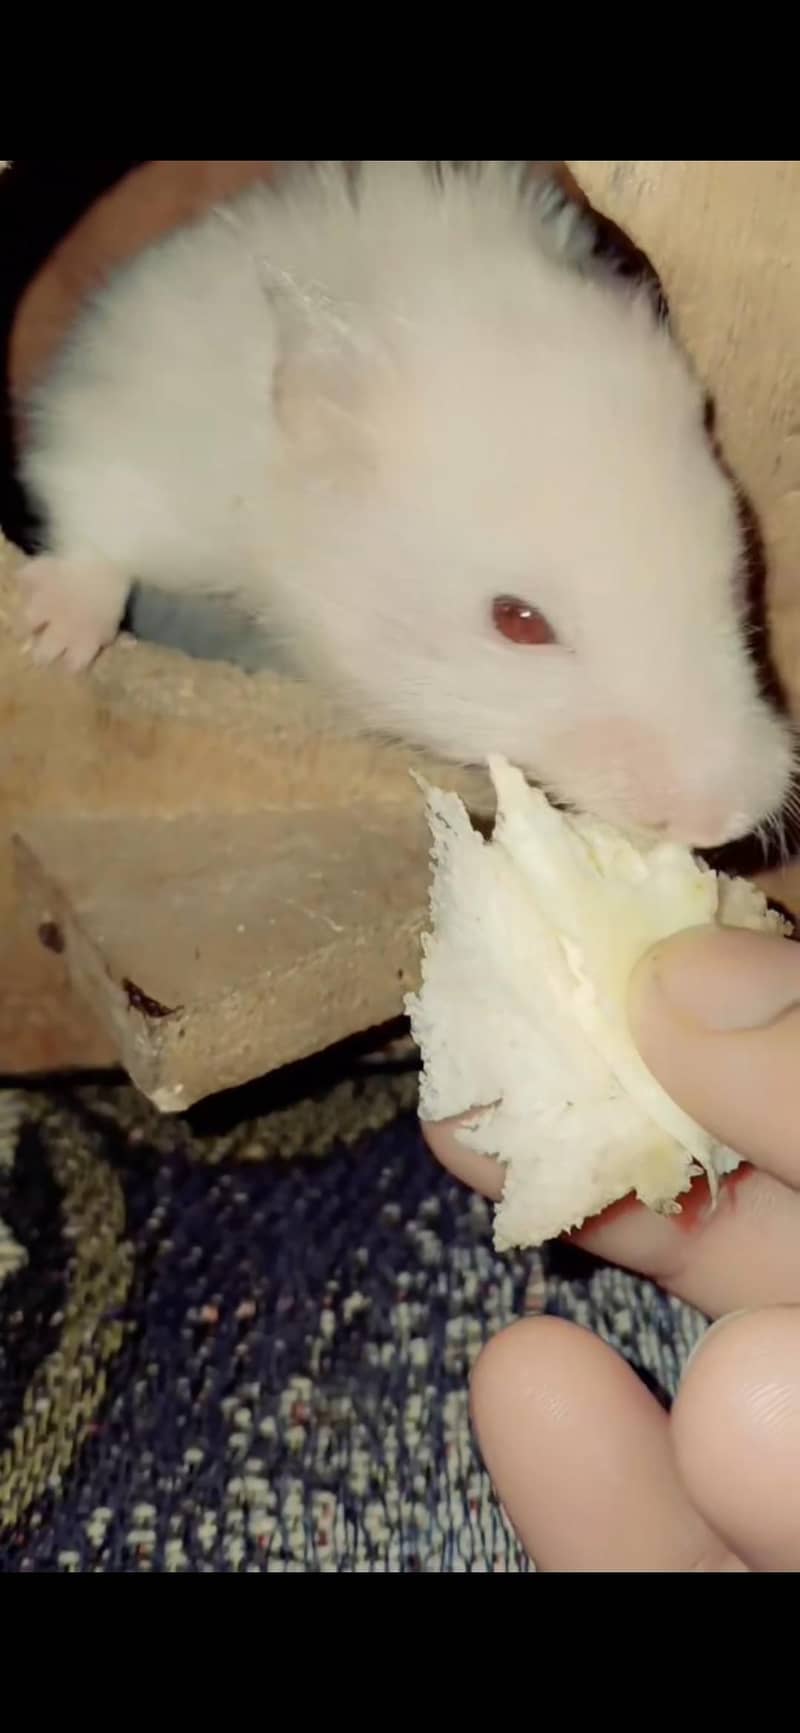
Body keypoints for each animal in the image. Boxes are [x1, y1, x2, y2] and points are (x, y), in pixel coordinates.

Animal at [15, 159, 796, 849]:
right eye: (517, 621)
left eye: (735, 571)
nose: (724, 821)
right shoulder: (137, 447)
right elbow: (95, 521)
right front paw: (51, 642)